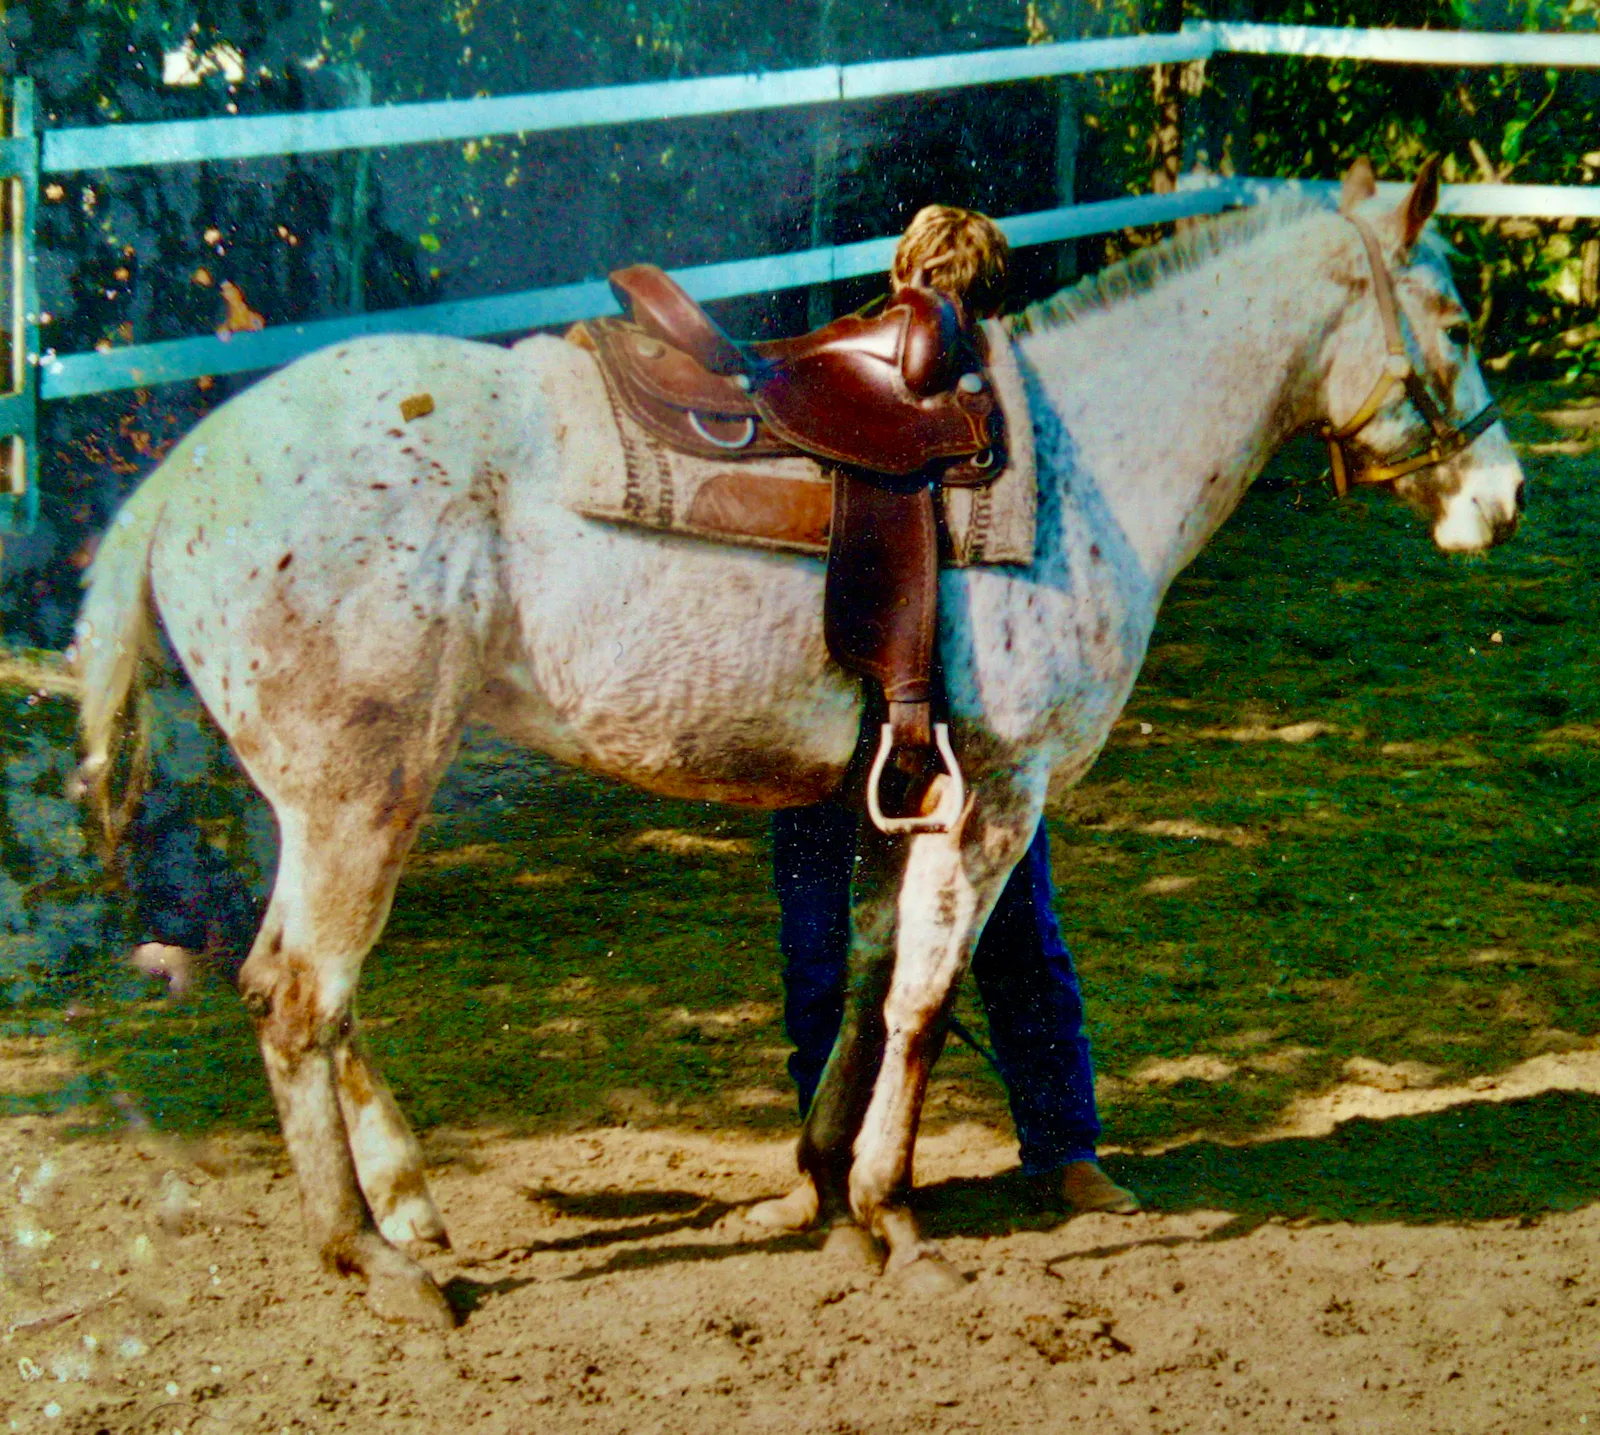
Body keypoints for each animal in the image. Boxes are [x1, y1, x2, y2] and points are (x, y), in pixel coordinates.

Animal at [73, 158, 1524, 1326]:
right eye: (1454, 320)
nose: (1504, 498)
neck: (1084, 465)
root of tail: (182, 474)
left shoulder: (900, 790)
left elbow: (871, 975)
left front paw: (822, 1181)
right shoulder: (995, 797)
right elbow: (926, 997)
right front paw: (892, 1213)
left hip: (328, 802)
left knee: (312, 994)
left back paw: (407, 1205)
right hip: (360, 796)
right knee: (298, 996)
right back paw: (372, 1258)